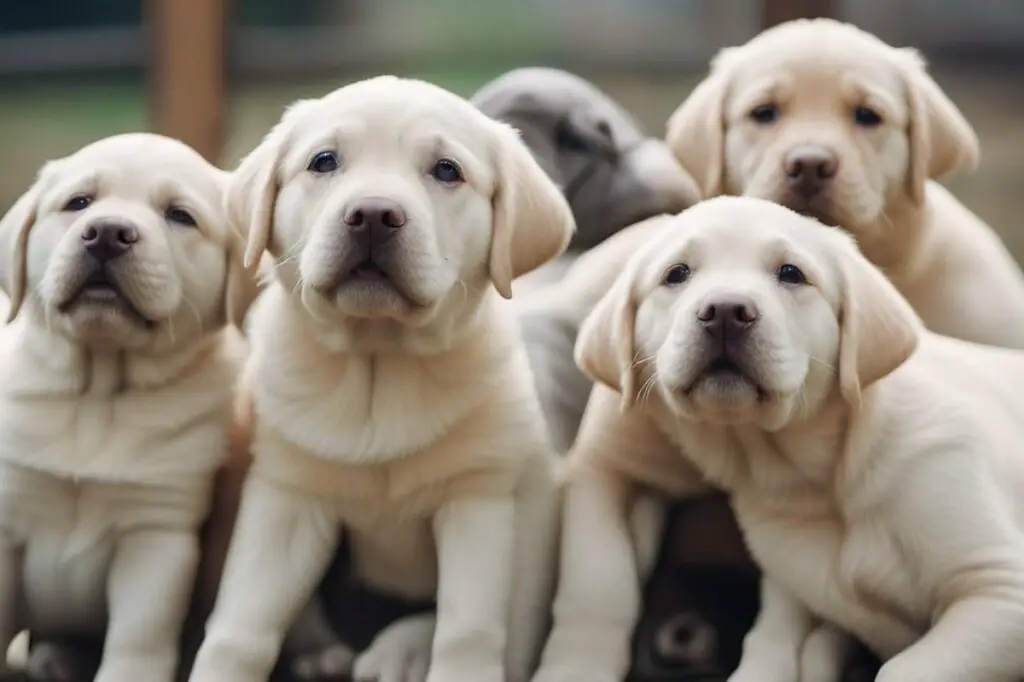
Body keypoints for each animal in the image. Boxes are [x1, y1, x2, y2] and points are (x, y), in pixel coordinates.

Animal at [0, 133, 258, 679]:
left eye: (179, 215)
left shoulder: (158, 535)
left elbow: (136, 643)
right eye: (79, 202)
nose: (107, 234)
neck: (97, 396)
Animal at [190, 74, 577, 679]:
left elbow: (467, 631)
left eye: (447, 170)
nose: (373, 214)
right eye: (324, 161)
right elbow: (241, 626)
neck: (379, 366)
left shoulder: (481, 500)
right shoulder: (286, 497)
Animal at [532, 193, 1024, 679]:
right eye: (676, 274)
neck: (820, 478)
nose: (725, 313)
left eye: (791, 273)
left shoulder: (999, 590)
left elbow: (900, 670)